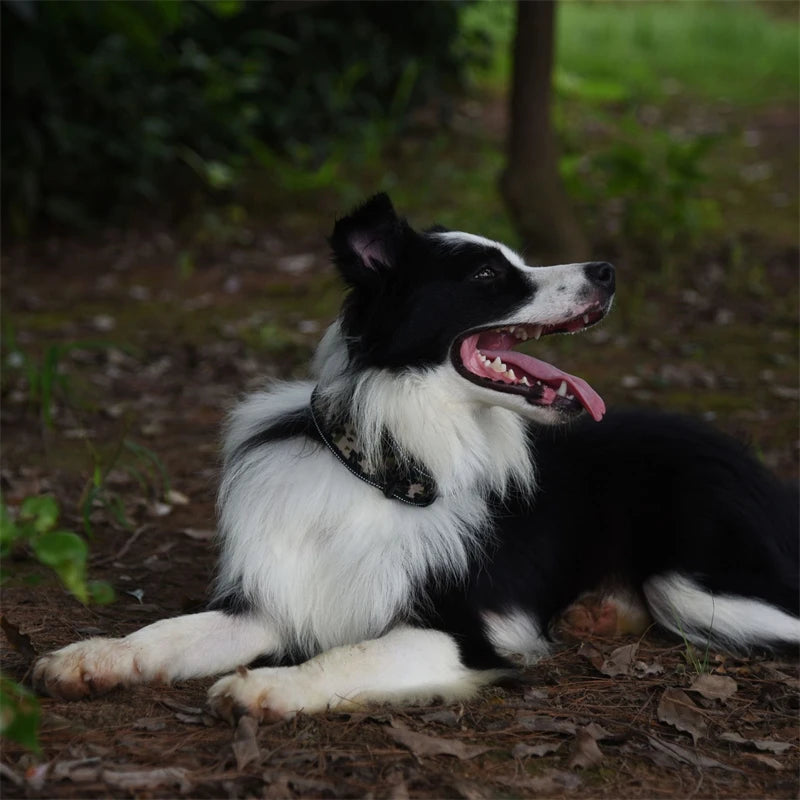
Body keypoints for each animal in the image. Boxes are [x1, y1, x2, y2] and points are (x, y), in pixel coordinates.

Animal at [32, 192, 800, 720]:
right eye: (489, 274)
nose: (607, 271)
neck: (388, 468)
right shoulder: (268, 605)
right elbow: (166, 632)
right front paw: (93, 656)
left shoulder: (465, 632)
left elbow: (352, 651)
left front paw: (270, 686)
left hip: (697, 588)